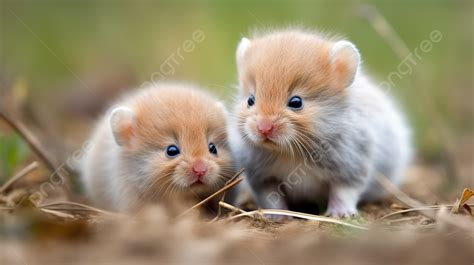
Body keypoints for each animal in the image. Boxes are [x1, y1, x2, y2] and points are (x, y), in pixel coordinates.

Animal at [229, 28, 412, 217]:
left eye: (296, 102)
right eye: (250, 100)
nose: (264, 128)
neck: (292, 152)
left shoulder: (350, 171)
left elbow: (343, 194)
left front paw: (341, 214)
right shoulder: (263, 180)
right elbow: (272, 199)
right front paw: (275, 216)